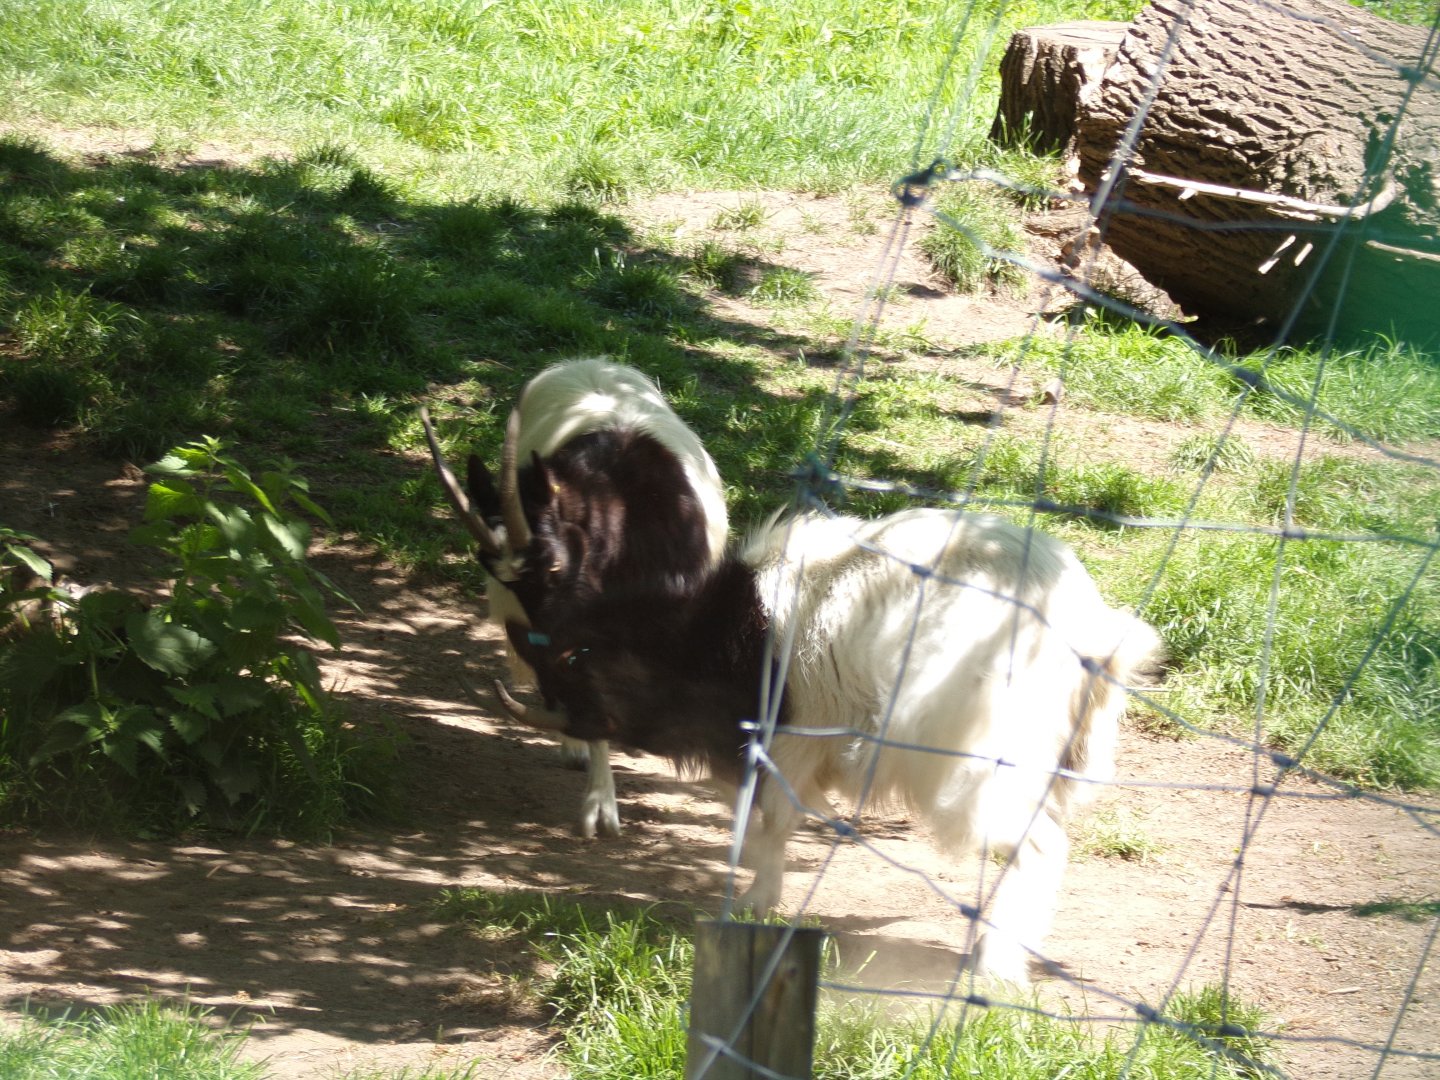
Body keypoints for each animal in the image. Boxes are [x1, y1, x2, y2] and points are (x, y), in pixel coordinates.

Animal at [493, 507, 1160, 982]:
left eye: (578, 663)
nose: (561, 719)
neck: (713, 634)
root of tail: (1094, 639)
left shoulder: (788, 740)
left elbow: (773, 818)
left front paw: (757, 902)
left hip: (979, 765)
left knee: (1039, 845)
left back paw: (996, 966)